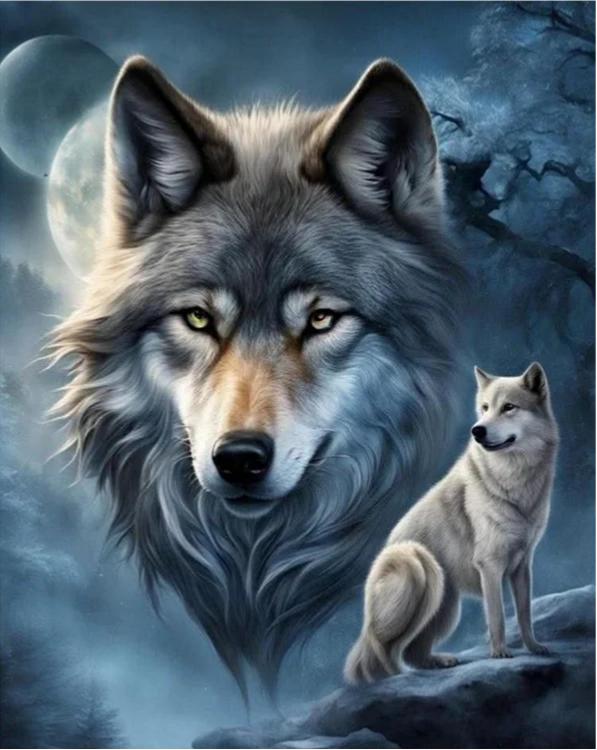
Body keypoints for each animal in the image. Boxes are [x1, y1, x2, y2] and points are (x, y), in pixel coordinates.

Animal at [345, 362, 559, 683]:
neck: (514, 480)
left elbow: (524, 613)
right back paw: (393, 673)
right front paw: (500, 653)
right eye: (484, 408)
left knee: (412, 651)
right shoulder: (490, 566)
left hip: (446, 608)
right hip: (417, 563)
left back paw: (437, 661)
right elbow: (497, 615)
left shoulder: (522, 565)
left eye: (508, 407)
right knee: (383, 649)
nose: (477, 430)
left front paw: (534, 647)